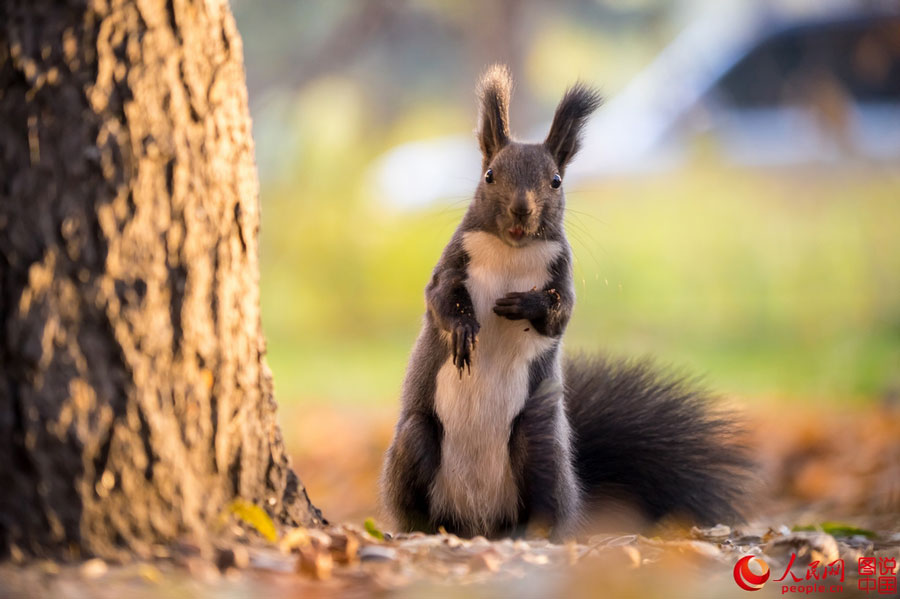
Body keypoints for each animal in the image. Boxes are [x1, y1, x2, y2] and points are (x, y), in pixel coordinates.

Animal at [382, 67, 752, 544]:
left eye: (556, 180)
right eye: (489, 175)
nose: (522, 209)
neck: (512, 251)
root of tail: (480, 523)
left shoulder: (563, 276)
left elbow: (561, 314)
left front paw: (526, 304)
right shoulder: (451, 264)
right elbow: (439, 298)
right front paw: (464, 328)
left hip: (539, 448)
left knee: (546, 505)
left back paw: (535, 531)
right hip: (416, 441)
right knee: (413, 500)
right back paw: (422, 529)